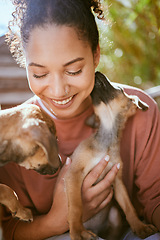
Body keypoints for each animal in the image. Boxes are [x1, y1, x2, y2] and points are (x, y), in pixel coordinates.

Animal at [65, 72, 158, 240]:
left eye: (119, 88)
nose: (97, 72)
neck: (107, 139)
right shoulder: (74, 173)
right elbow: (76, 206)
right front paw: (77, 230)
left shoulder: (118, 181)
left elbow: (129, 206)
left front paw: (139, 226)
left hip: (115, 218)